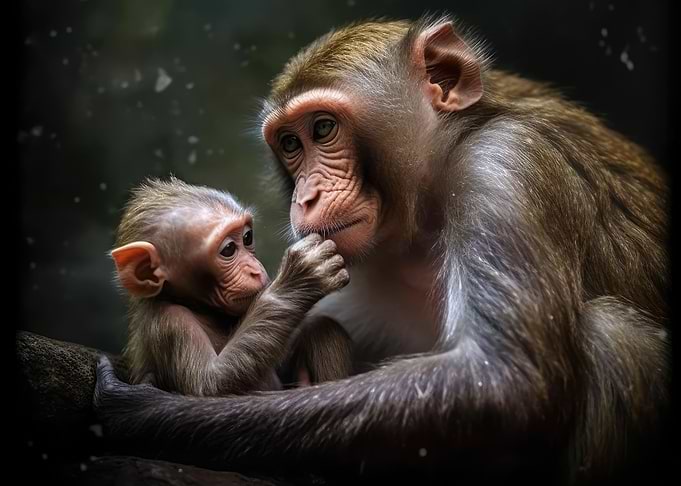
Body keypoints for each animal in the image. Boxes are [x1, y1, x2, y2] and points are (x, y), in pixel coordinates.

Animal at [110, 177, 353, 396]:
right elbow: (210, 383)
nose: (254, 270)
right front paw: (300, 278)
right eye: (228, 250)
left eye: (247, 237)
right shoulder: (171, 322)